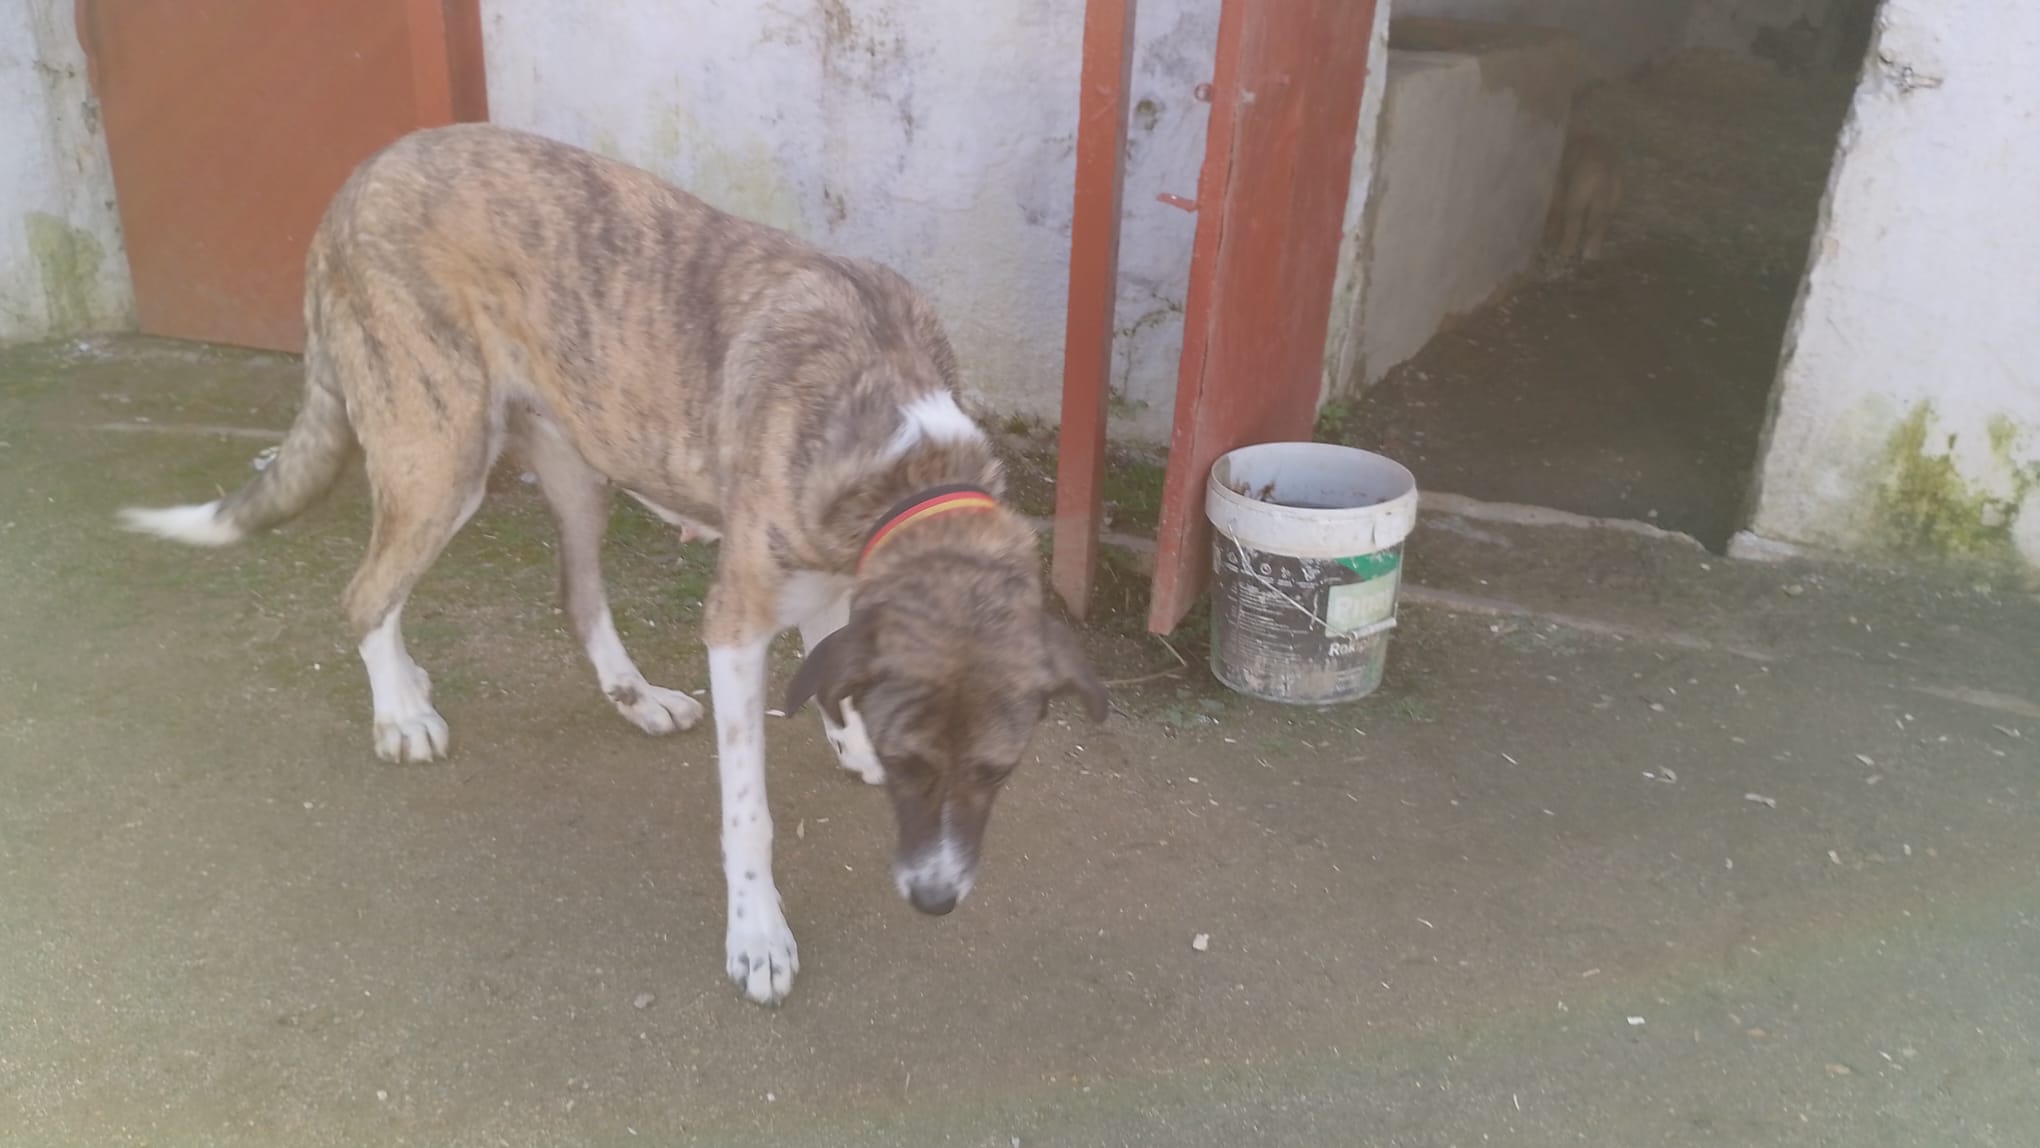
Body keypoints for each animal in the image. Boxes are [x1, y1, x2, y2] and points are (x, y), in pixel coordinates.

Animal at [120, 124, 1107, 1006]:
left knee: (576, 597)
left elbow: (834, 660)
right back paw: (399, 709)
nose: (936, 900)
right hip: (439, 450)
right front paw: (758, 938)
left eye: (998, 771)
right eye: (914, 763)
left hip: (570, 463)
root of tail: (358, 180)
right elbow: (749, 813)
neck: (905, 451)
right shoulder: (737, 623)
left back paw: (624, 698)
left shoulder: (837, 574)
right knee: (369, 591)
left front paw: (847, 738)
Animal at [1546, 129, 1624, 265]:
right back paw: (1591, 255)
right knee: (1599, 229)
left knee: (1574, 228)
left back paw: (1563, 252)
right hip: (1610, 205)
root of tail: (1605, 173)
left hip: (1577, 199)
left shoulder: (1559, 192)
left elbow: (1556, 215)